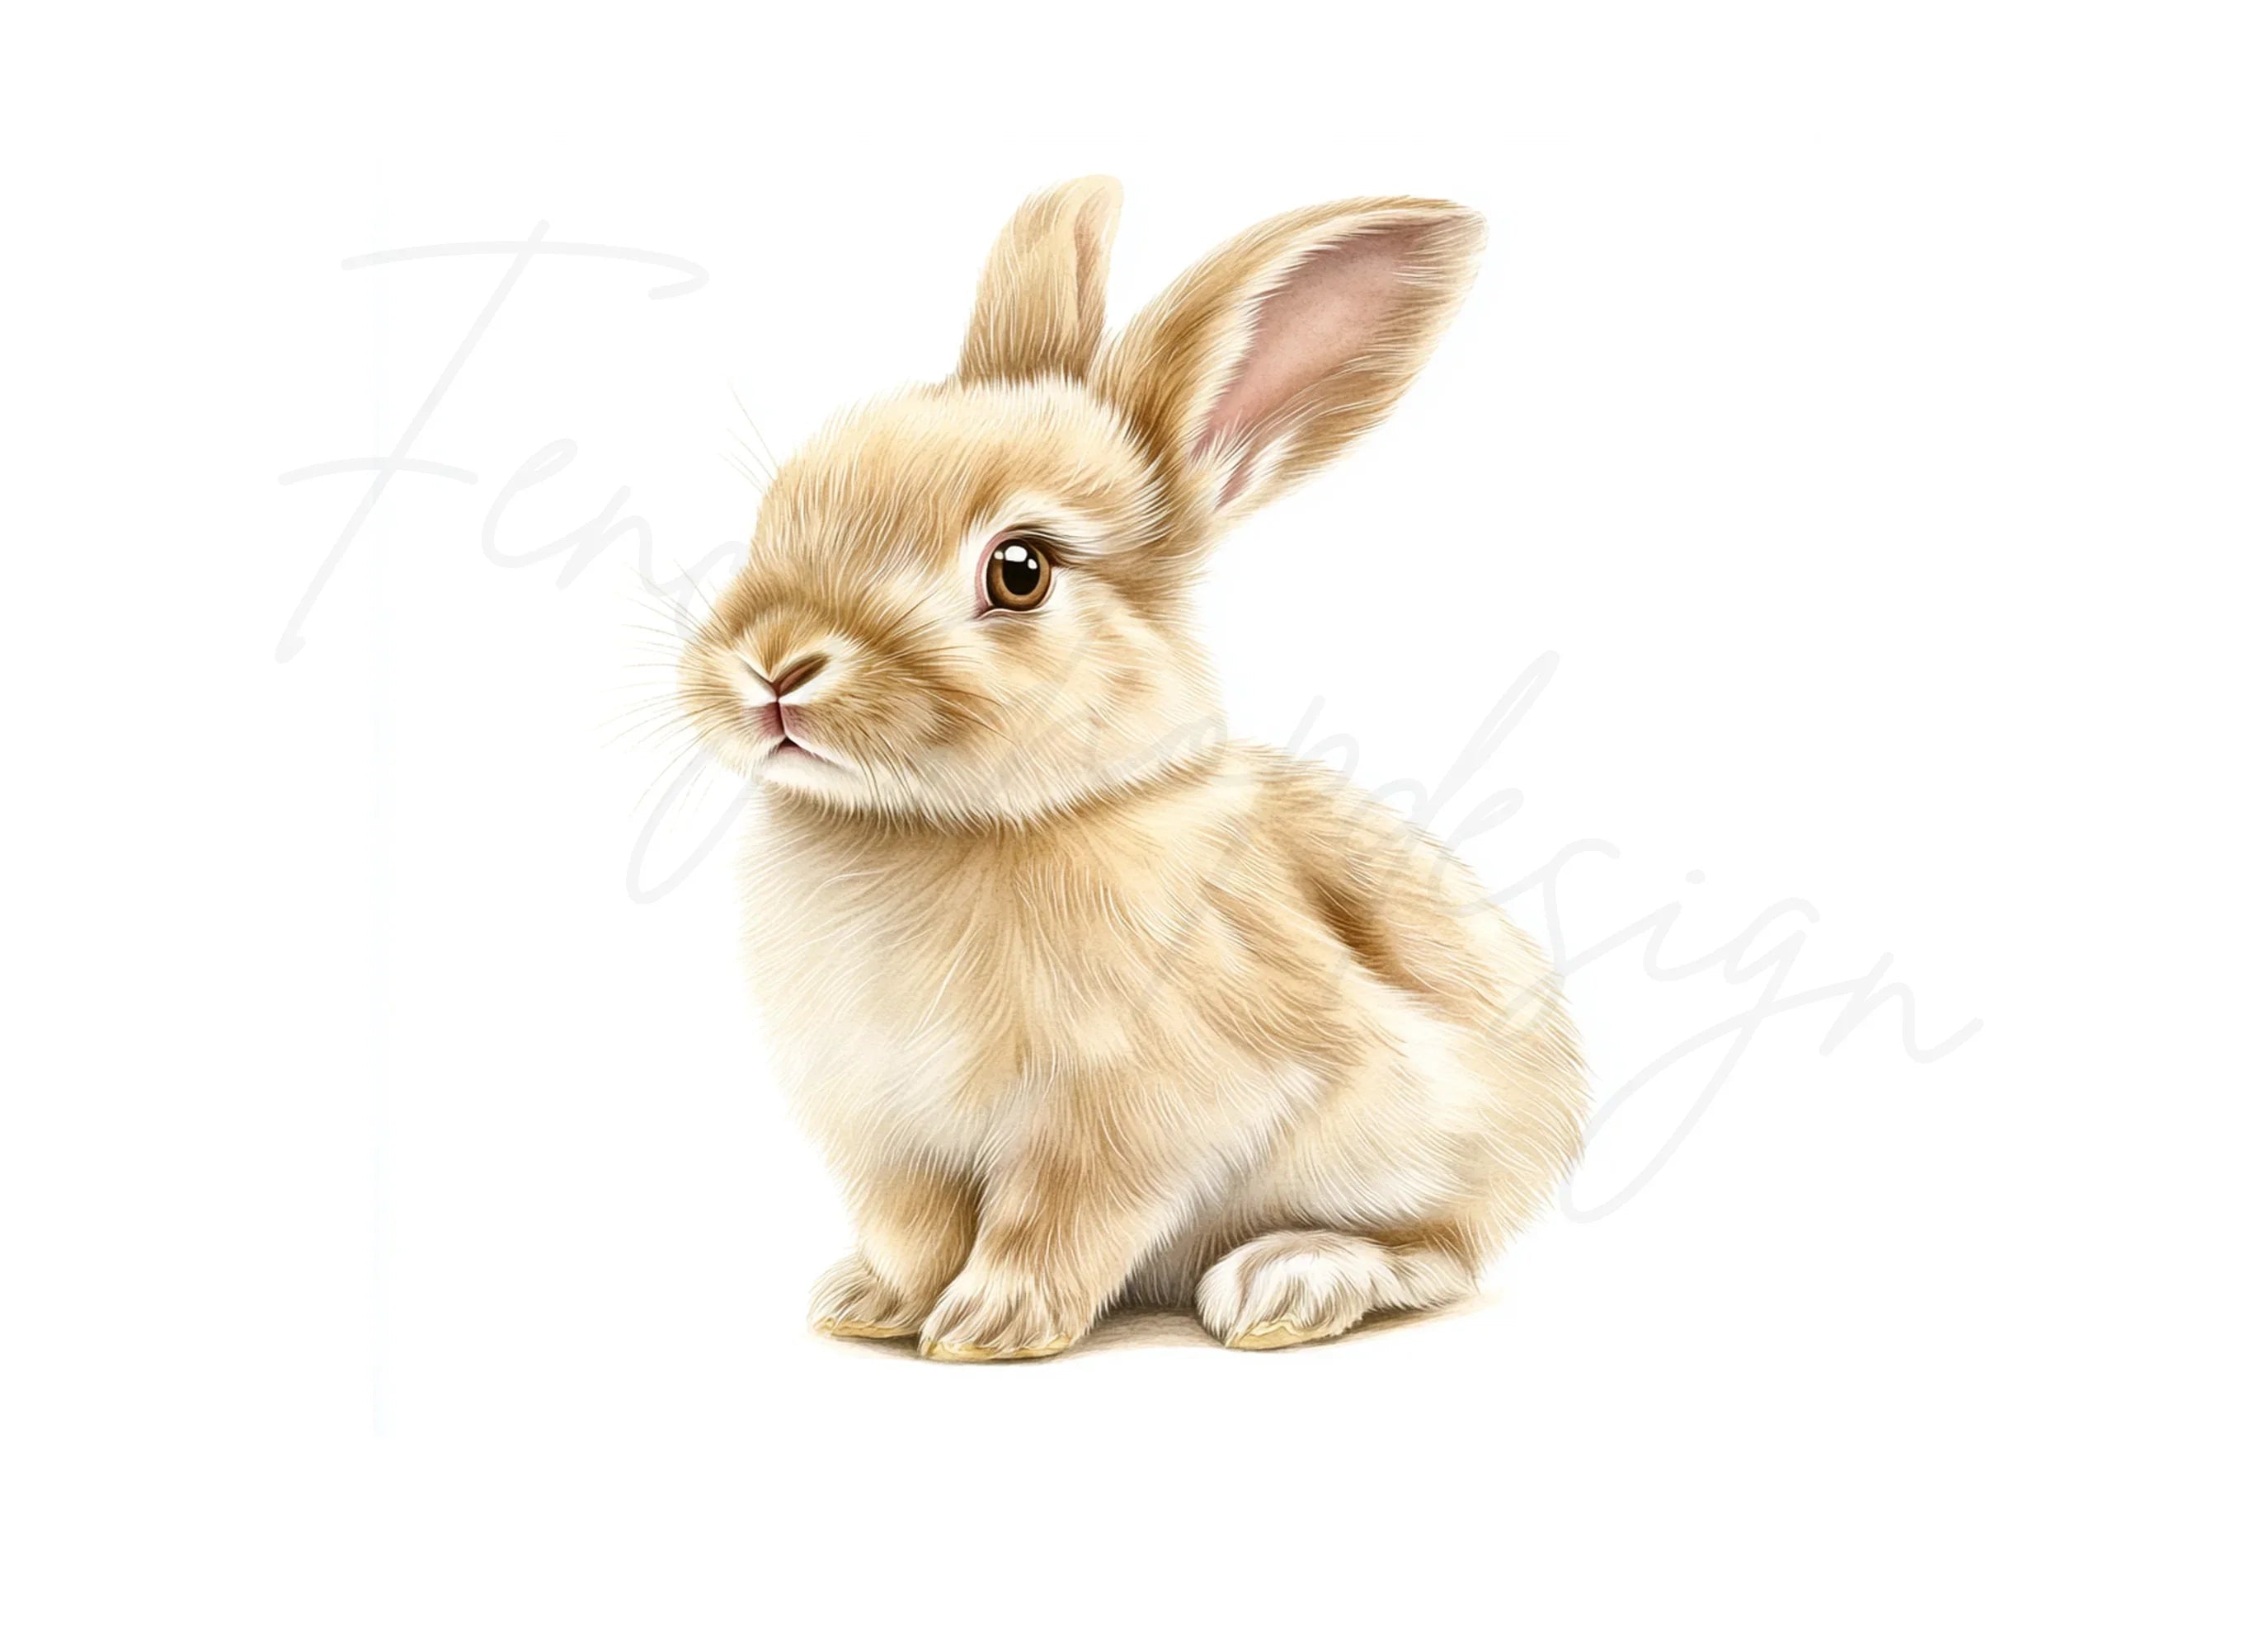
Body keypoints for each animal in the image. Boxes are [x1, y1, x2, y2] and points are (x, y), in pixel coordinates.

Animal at [676, 177, 1588, 1359]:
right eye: (780, 505)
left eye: (1018, 571)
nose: (774, 664)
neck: (952, 824)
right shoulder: (886, 1132)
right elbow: (912, 1229)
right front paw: (872, 1306)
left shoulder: (1135, 1113)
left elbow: (1053, 1218)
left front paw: (991, 1325)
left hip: (1429, 1148)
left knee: (1435, 1253)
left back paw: (1289, 1280)